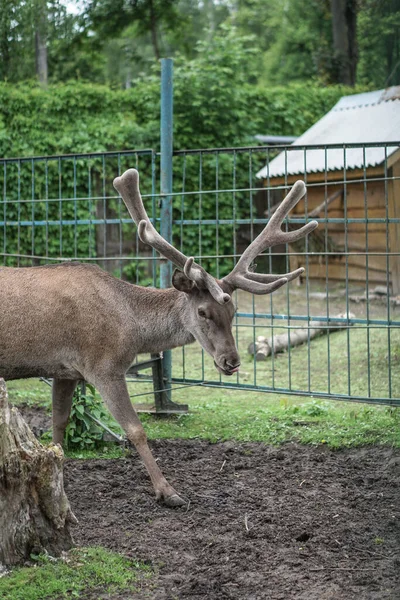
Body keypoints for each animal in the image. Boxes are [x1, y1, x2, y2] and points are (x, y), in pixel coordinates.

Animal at [0, 169, 318, 506]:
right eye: (203, 311)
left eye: (234, 310)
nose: (231, 361)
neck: (131, 327)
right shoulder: (103, 366)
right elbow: (135, 429)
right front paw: (168, 491)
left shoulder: (66, 370)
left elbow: (58, 423)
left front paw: (62, 481)